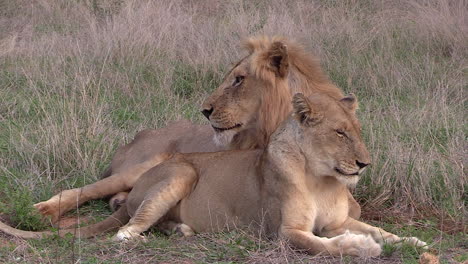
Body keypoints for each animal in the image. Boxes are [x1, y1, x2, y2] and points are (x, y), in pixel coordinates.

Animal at [0, 93, 428, 258]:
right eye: (340, 133)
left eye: (356, 131)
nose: (364, 164)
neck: (323, 179)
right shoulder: (284, 233)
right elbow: (327, 245)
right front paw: (362, 247)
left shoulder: (339, 220)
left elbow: (381, 230)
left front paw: (413, 242)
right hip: (180, 170)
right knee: (124, 229)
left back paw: (181, 230)